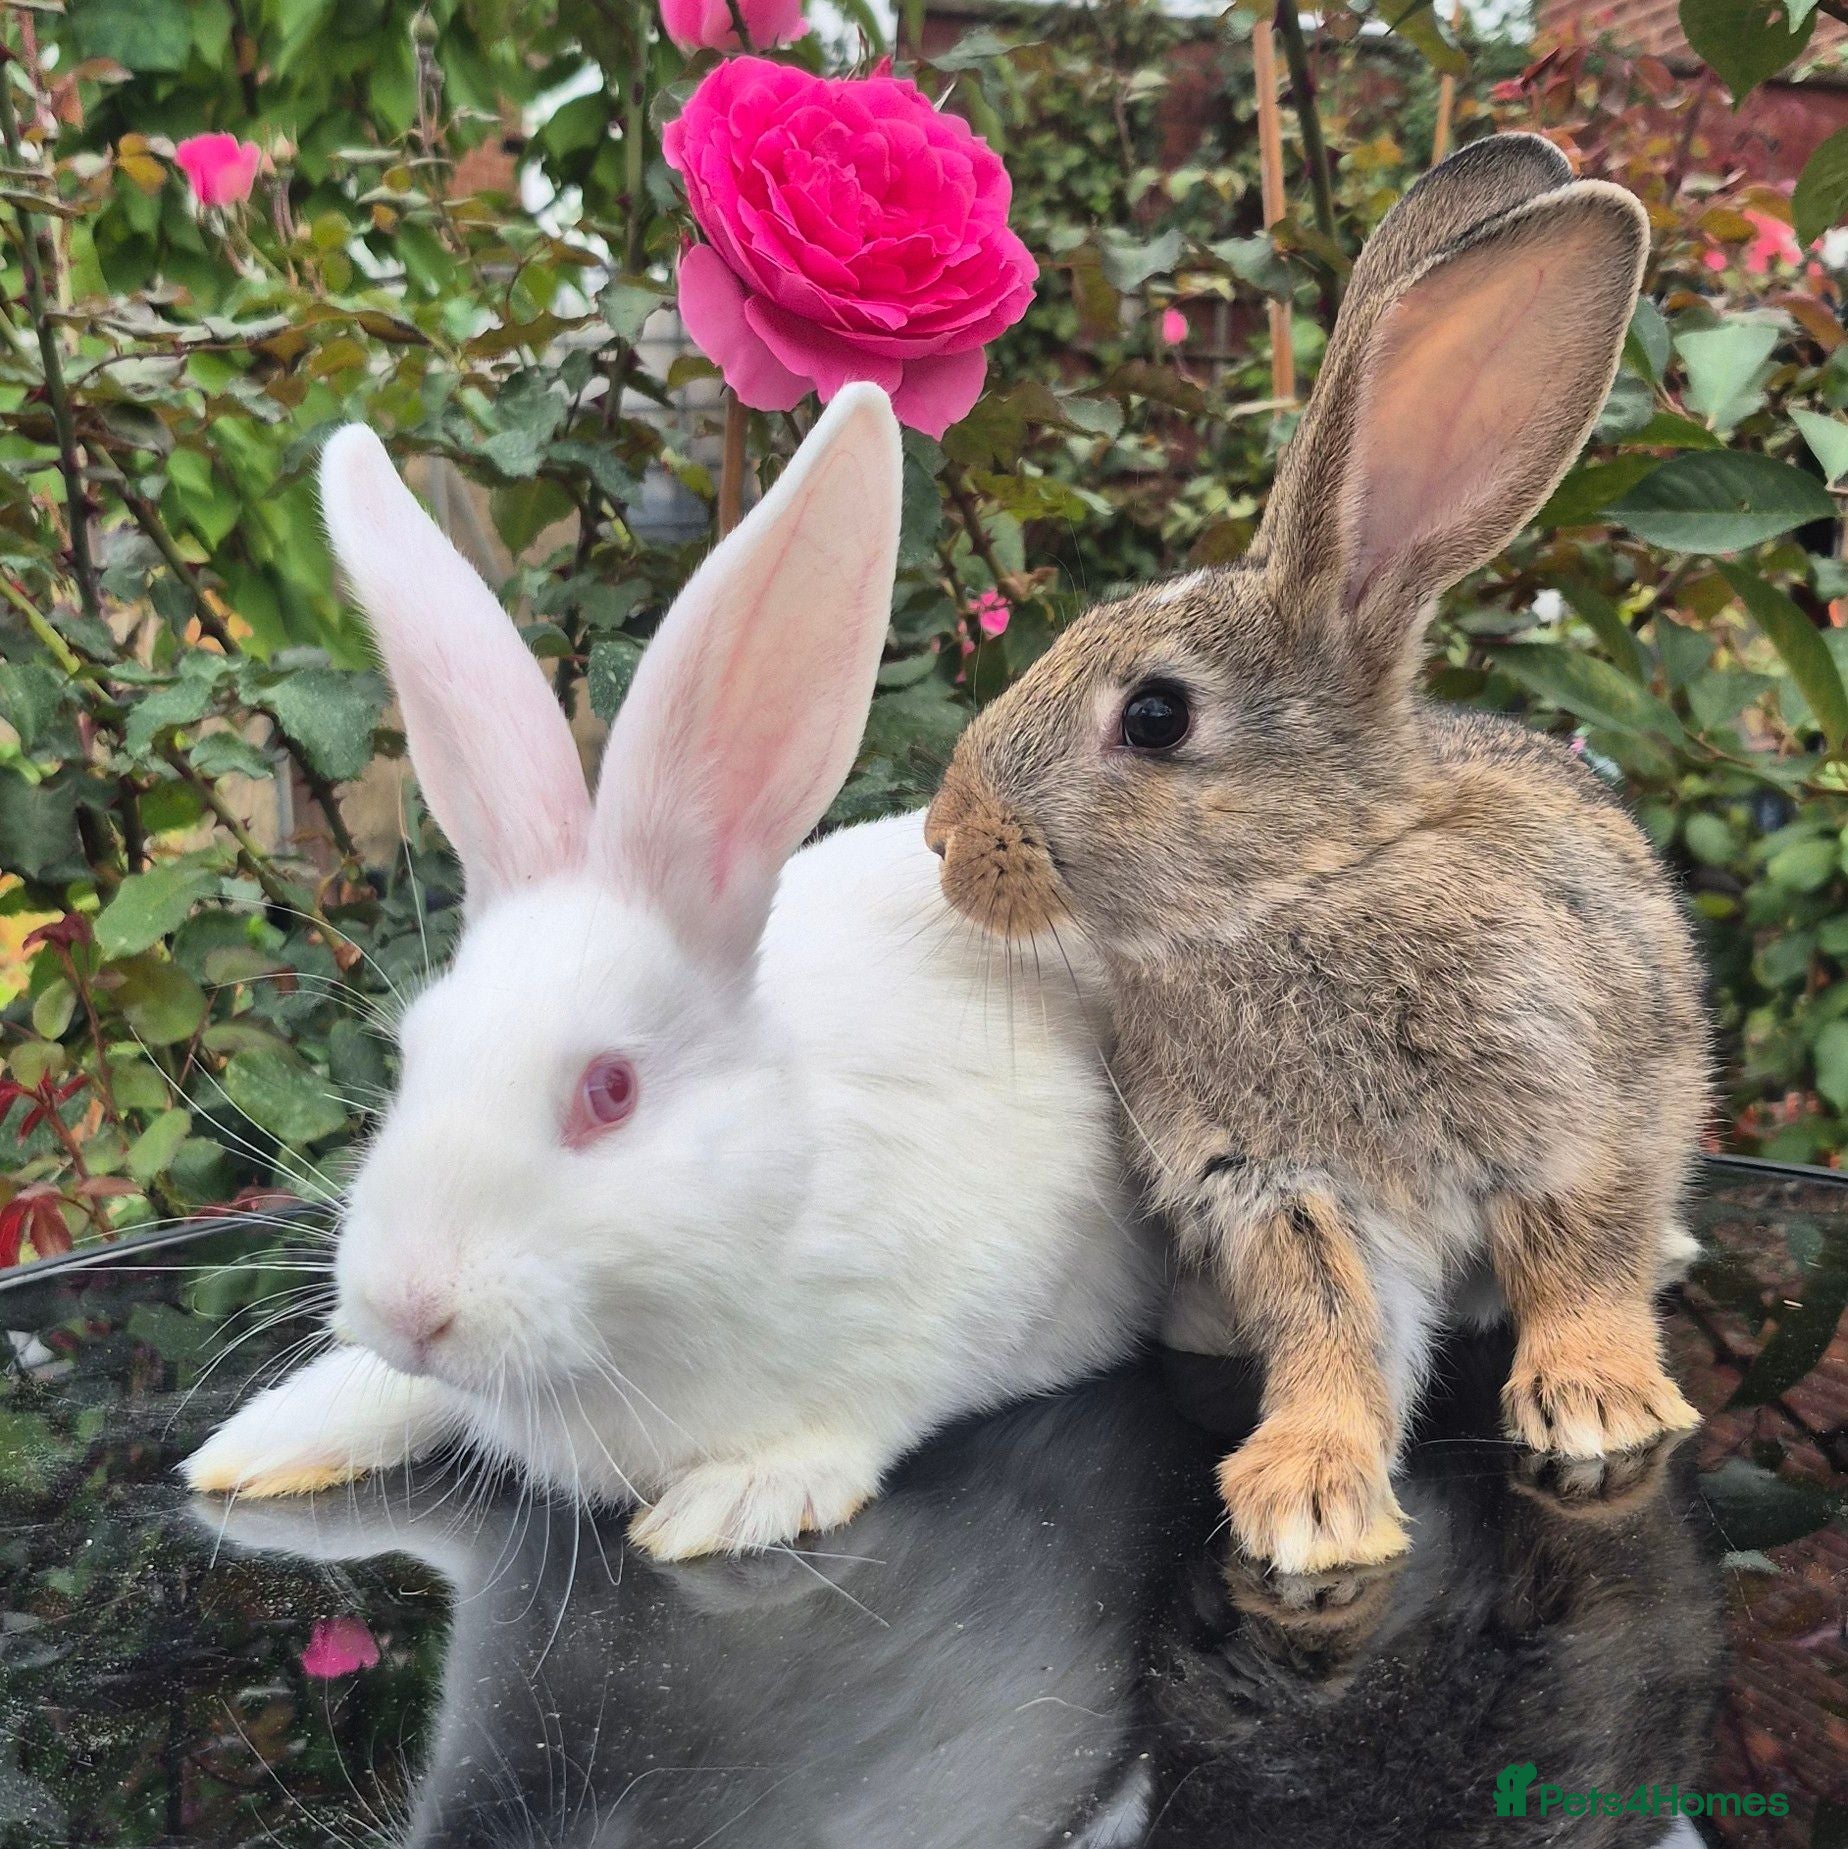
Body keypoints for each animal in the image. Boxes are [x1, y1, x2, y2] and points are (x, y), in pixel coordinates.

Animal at [183, 383, 1162, 1561]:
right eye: (410, 1058)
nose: (409, 1306)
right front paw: (264, 1439)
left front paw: (735, 1496)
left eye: (611, 1091)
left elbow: (862, 1414)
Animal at [921, 134, 1708, 1575]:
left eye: (1156, 716)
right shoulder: (1279, 1192)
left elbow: (1580, 1261)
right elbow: (1330, 1328)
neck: (1300, 892)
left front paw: (1600, 1402)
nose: (948, 838)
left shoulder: (1579, 1124)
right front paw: (1307, 1496)